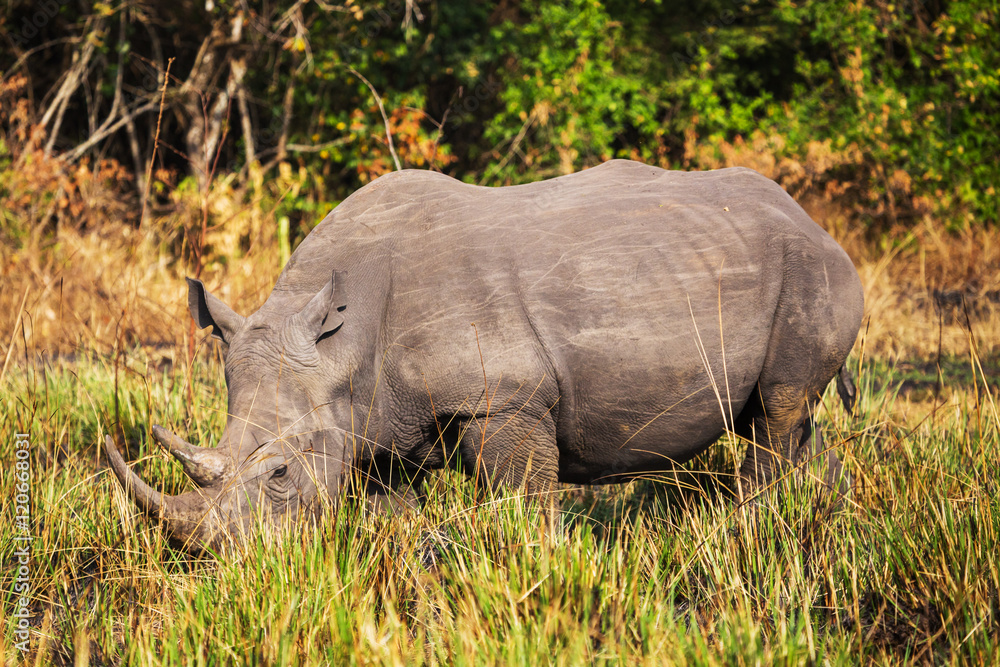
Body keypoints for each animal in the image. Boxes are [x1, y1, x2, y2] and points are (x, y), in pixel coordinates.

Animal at [105, 160, 864, 551]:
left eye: (281, 474)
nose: (228, 562)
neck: (342, 342)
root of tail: (811, 219)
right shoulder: (375, 426)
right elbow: (392, 514)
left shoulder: (505, 400)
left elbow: (525, 503)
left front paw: (548, 572)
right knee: (789, 417)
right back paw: (815, 518)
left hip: (811, 270)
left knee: (778, 411)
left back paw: (748, 531)